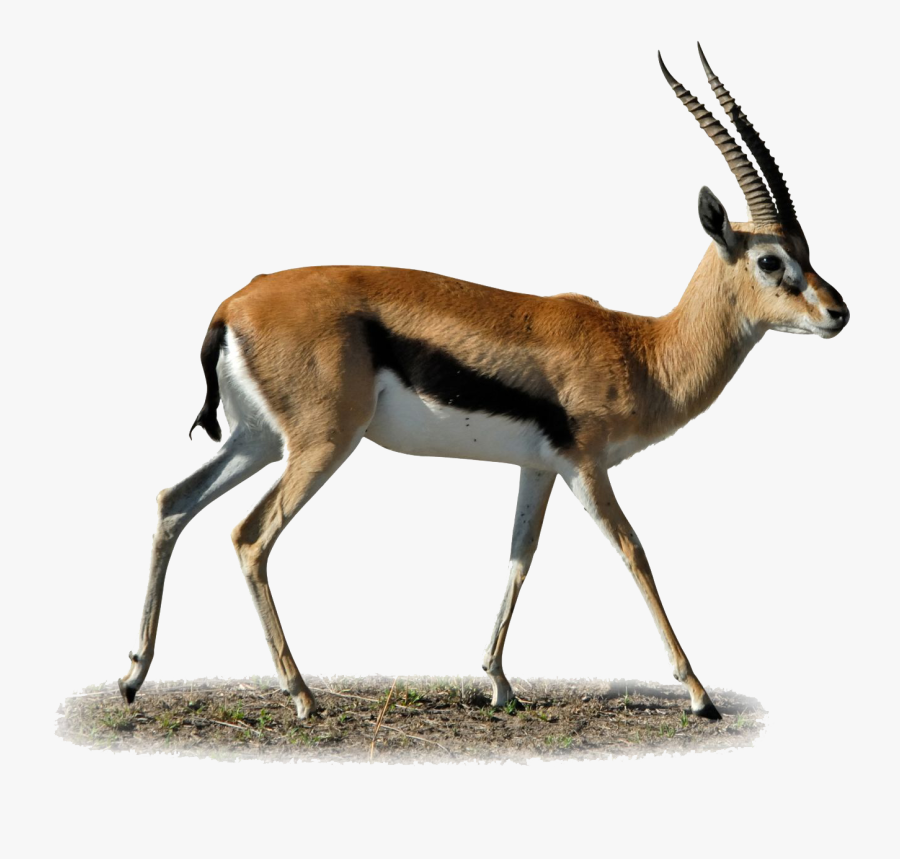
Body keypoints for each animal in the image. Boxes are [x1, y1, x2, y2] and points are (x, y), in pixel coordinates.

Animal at [119, 46, 849, 721]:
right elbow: (634, 550)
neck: (639, 347)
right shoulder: (587, 466)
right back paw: (301, 695)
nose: (838, 312)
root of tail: (233, 304)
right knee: (249, 536)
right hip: (322, 444)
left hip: (259, 440)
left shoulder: (541, 468)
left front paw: (498, 683)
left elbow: (519, 555)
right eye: (771, 260)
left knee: (173, 501)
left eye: (808, 252)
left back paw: (133, 675)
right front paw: (699, 693)